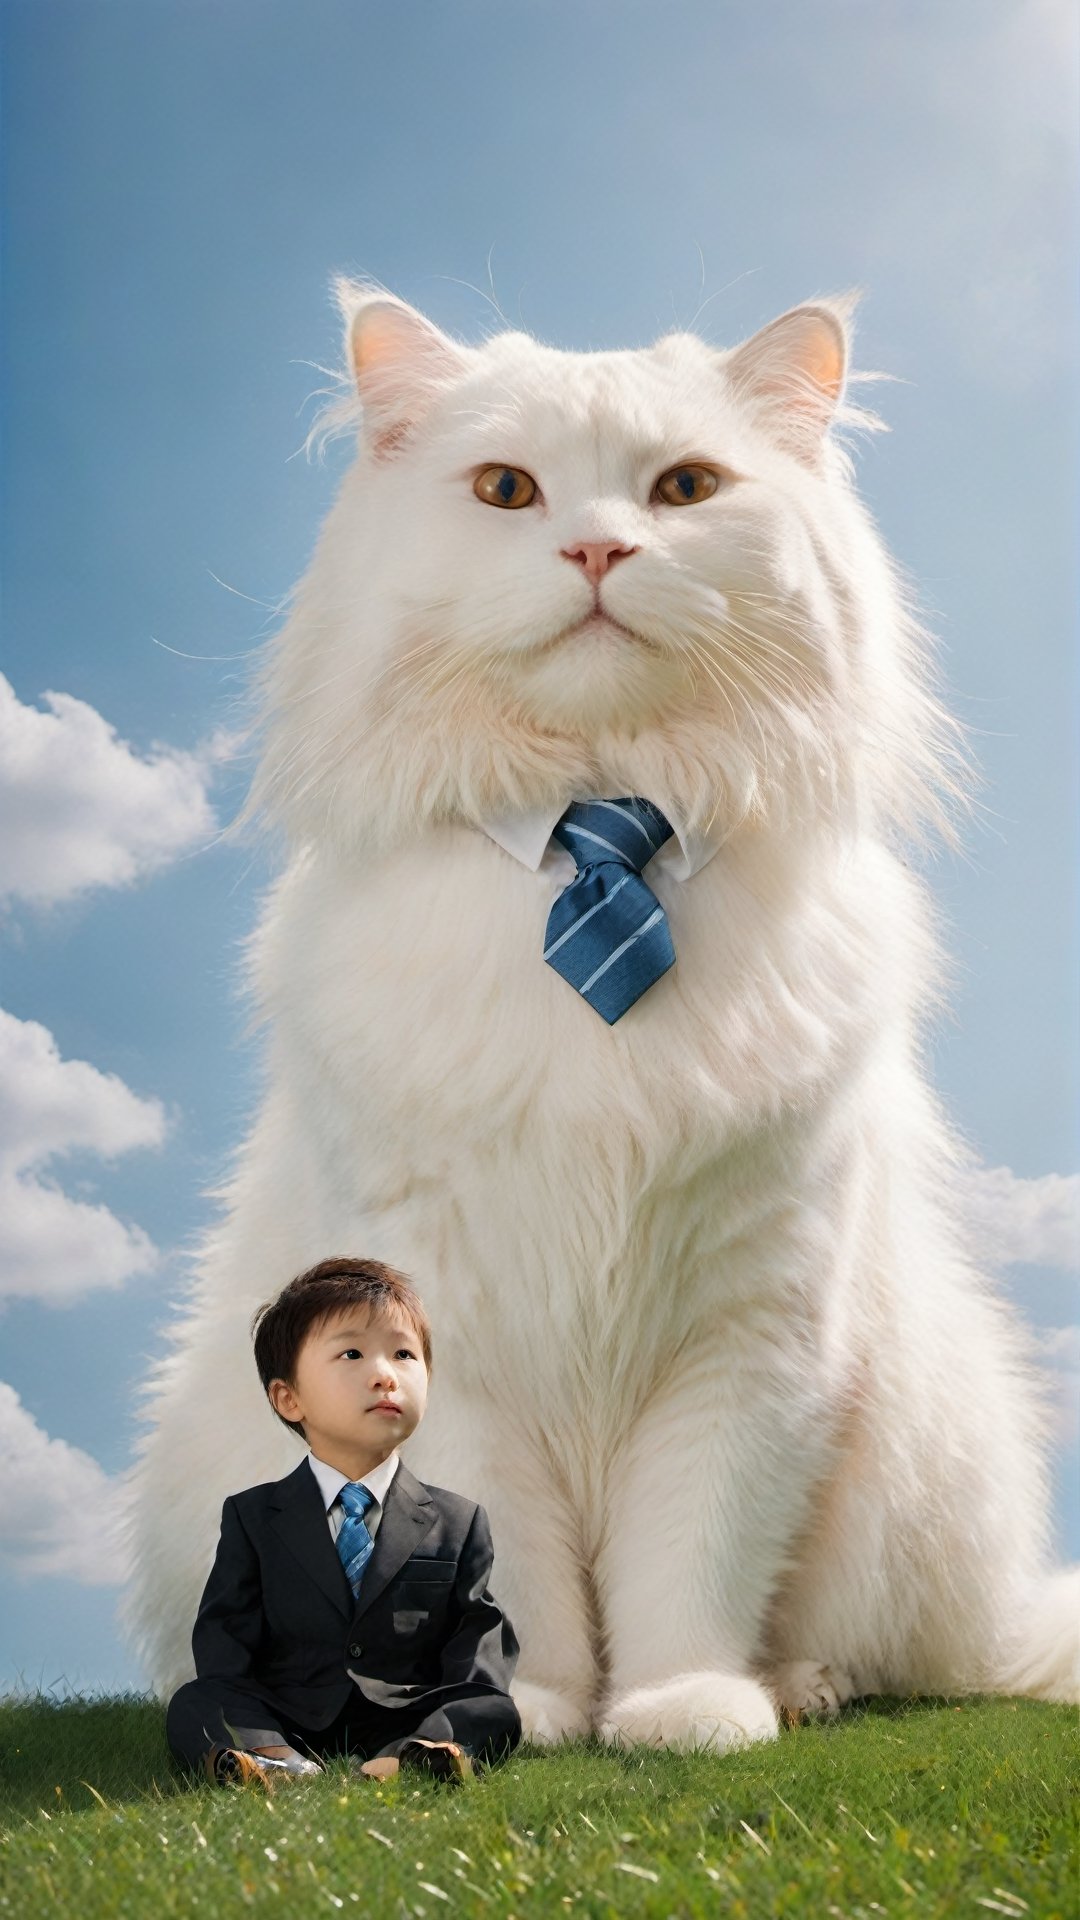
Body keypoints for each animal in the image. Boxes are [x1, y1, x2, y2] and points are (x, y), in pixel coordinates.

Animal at [125, 280, 1076, 1743]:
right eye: (506, 490)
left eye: (685, 489)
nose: (596, 550)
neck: (598, 844)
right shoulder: (452, 1326)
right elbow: (502, 1570)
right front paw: (529, 1711)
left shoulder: (753, 1334)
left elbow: (694, 1560)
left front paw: (685, 1710)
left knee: (885, 1650)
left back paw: (800, 1690)